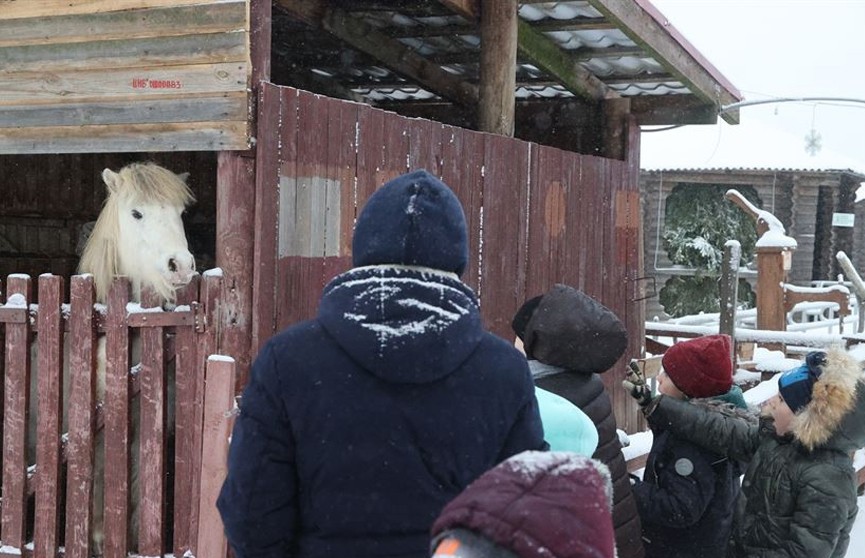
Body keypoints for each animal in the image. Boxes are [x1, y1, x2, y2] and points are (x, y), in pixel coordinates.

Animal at [30, 161, 196, 556]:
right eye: (136, 213)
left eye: (181, 213)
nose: (180, 266)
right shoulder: (96, 436)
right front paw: (97, 540)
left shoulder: (141, 436)